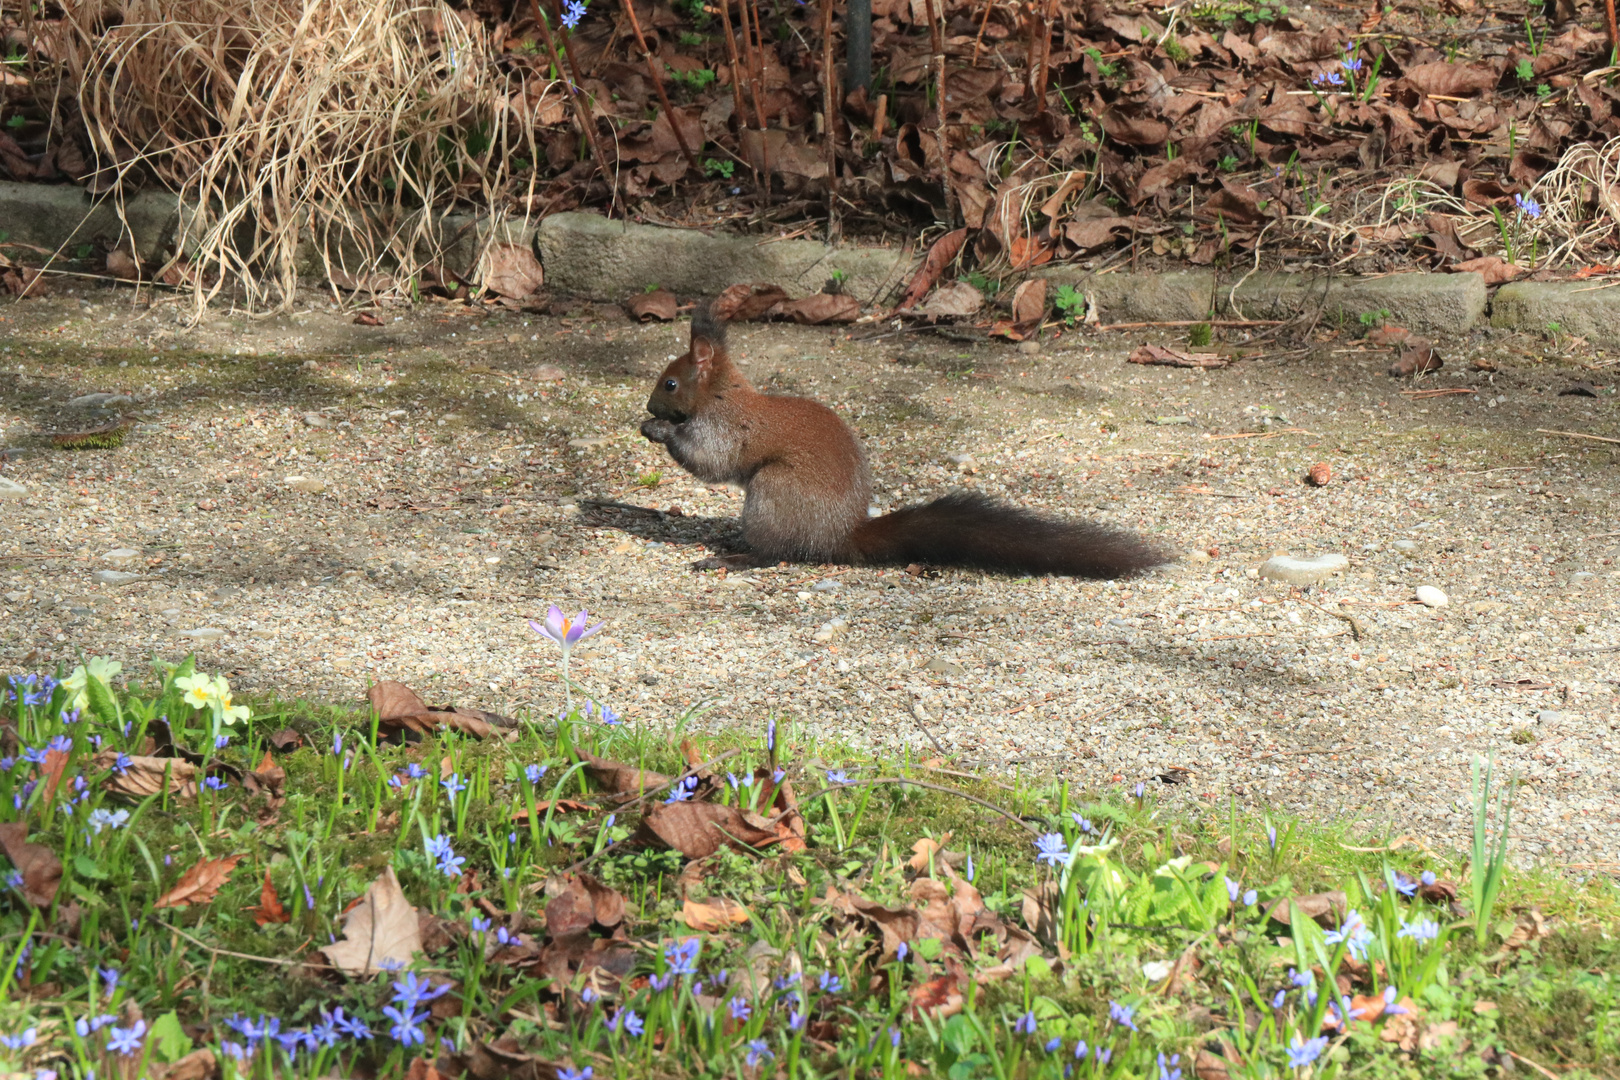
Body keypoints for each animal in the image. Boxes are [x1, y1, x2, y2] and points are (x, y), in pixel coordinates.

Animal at [638, 304, 1172, 579]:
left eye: (669, 383)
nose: (648, 406)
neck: (722, 394)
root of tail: (839, 536)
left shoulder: (726, 429)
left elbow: (709, 461)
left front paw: (657, 431)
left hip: (773, 491)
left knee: (777, 554)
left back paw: (732, 557)